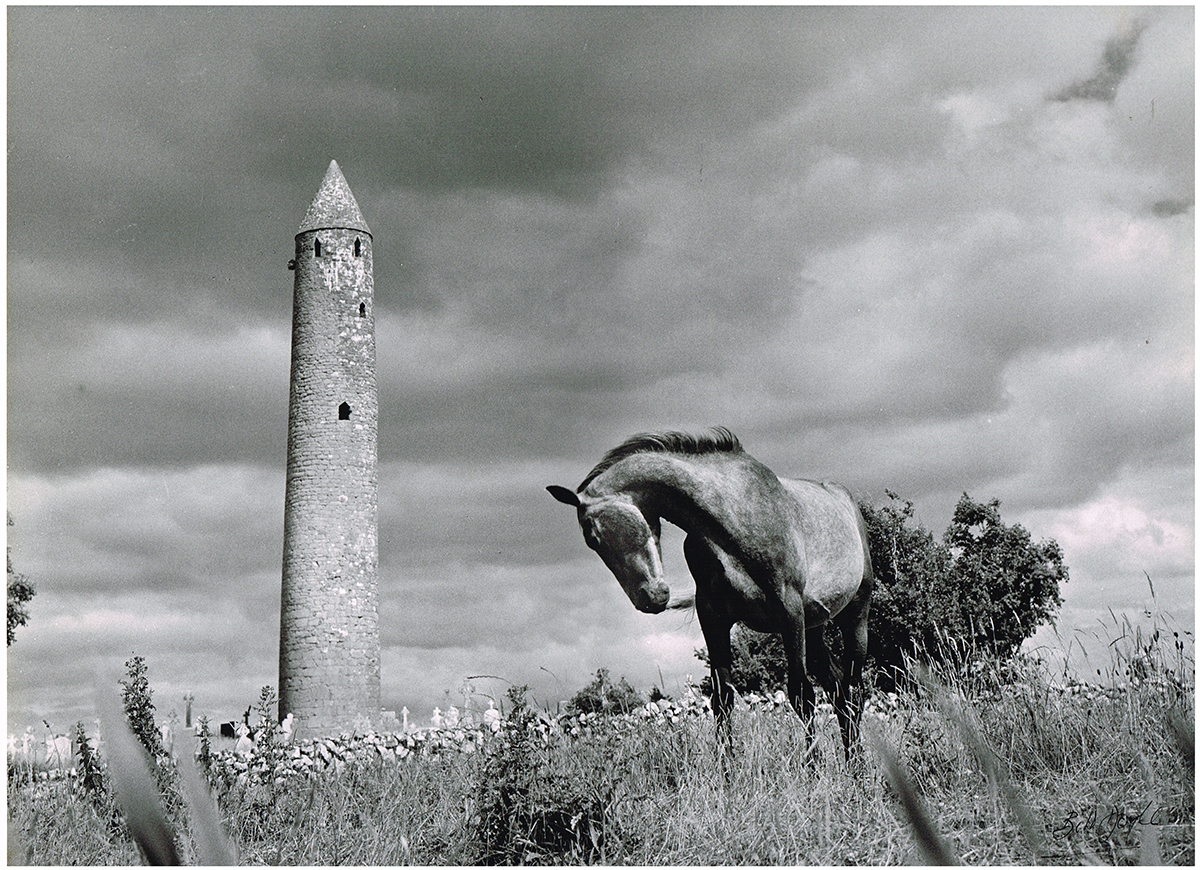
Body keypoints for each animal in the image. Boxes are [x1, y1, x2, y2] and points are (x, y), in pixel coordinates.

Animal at [549, 427, 873, 758]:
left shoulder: (790, 613)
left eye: (592, 536)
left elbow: (801, 695)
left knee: (853, 690)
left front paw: (812, 765)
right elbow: (723, 701)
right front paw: (728, 768)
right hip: (815, 626)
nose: (650, 599)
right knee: (838, 690)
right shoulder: (714, 619)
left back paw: (857, 764)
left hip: (855, 615)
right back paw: (851, 760)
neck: (734, 520)